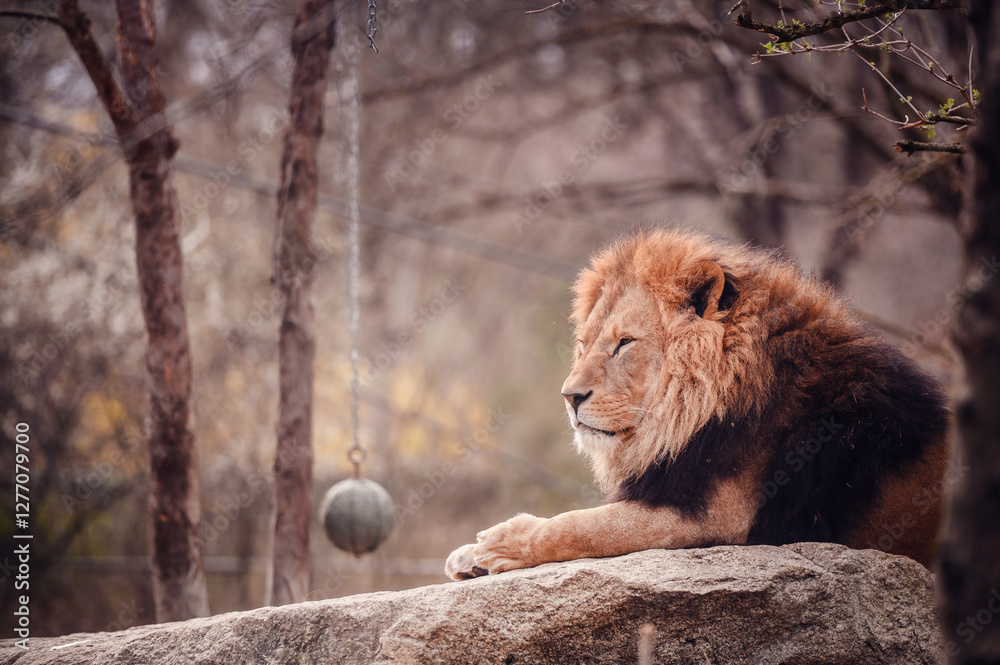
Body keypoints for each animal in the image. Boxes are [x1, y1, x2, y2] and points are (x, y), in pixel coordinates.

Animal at [445, 228, 950, 580]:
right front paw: (468, 556)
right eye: (583, 344)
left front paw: (496, 545)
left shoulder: (719, 520)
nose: (570, 397)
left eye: (624, 343)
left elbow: (583, 525)